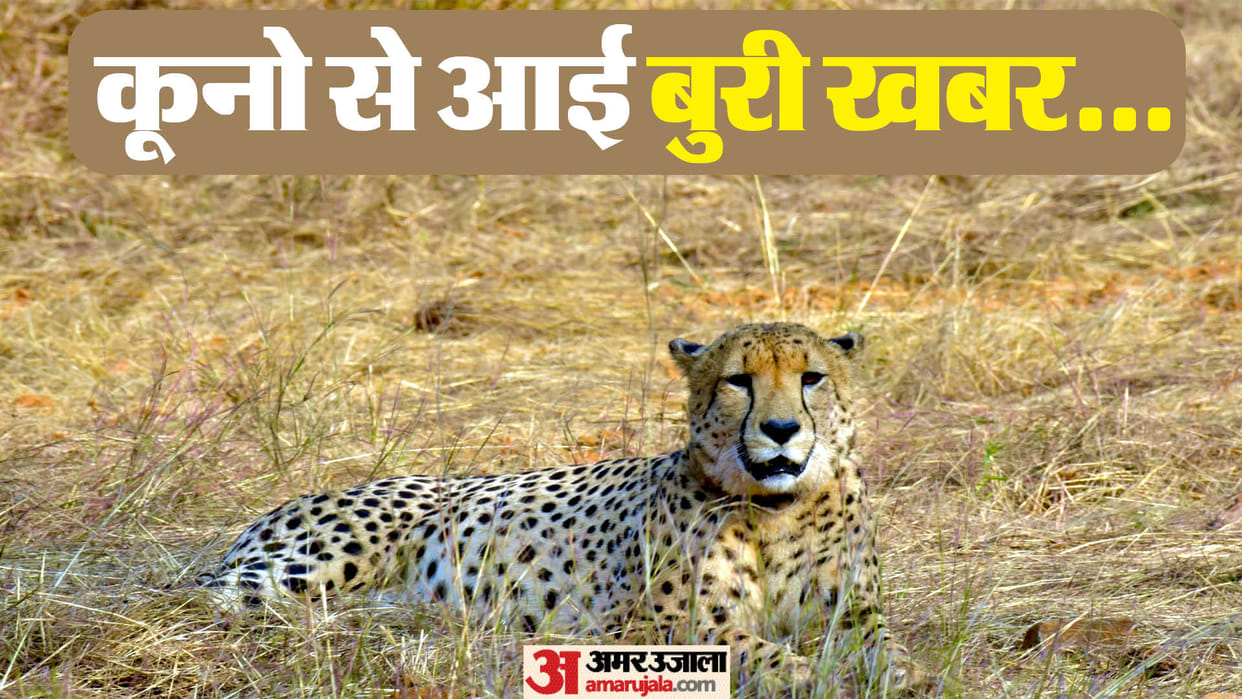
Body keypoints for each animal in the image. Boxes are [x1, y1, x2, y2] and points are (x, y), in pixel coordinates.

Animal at [197, 322, 914, 693]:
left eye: (811, 377)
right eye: (738, 380)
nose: (782, 429)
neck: (776, 508)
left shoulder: (853, 610)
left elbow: (886, 647)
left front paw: (900, 673)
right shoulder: (647, 628)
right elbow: (745, 645)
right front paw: (805, 673)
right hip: (311, 565)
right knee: (206, 597)